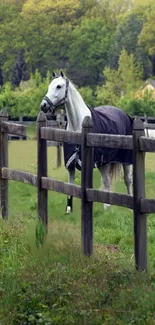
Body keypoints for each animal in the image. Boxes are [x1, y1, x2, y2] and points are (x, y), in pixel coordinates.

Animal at [39, 71, 132, 213]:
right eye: (50, 86)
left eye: (59, 86)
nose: (43, 105)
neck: (78, 125)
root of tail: (124, 114)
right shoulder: (70, 164)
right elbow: (70, 185)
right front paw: (68, 209)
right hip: (103, 162)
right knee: (107, 181)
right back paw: (106, 207)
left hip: (125, 160)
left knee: (127, 179)